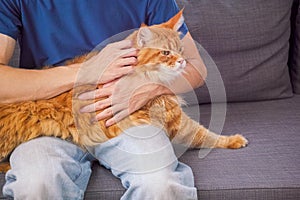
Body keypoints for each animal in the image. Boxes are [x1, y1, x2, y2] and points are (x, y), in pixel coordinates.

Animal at [0, 10, 248, 172]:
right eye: (165, 53)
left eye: (180, 49)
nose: (182, 62)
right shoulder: (176, 121)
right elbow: (206, 135)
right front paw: (234, 140)